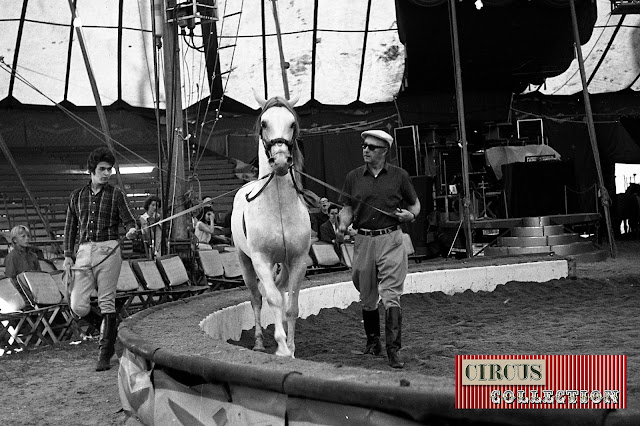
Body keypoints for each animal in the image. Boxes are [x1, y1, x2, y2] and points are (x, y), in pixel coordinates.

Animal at [230, 93, 310, 356]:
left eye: (292, 123)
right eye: (264, 123)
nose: (281, 161)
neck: (278, 208)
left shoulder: (297, 260)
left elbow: (291, 305)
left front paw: (291, 348)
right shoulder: (260, 260)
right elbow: (272, 299)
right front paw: (282, 348)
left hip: (282, 263)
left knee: (280, 290)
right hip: (245, 262)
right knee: (257, 298)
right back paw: (258, 342)